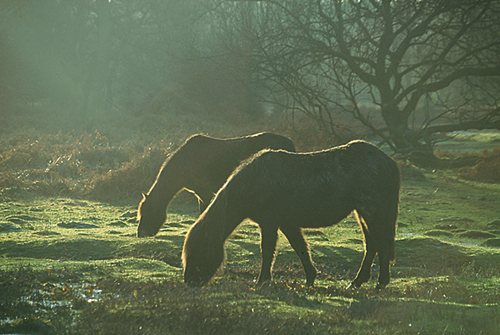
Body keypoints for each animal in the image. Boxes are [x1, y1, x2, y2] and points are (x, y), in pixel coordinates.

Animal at [182, 140, 400, 290]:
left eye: (198, 250)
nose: (189, 281)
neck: (254, 181)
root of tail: (389, 162)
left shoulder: (269, 223)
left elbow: (267, 250)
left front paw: (262, 281)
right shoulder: (287, 223)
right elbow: (300, 248)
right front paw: (310, 278)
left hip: (373, 212)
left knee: (379, 243)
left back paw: (379, 283)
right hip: (363, 214)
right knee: (372, 245)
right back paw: (358, 282)